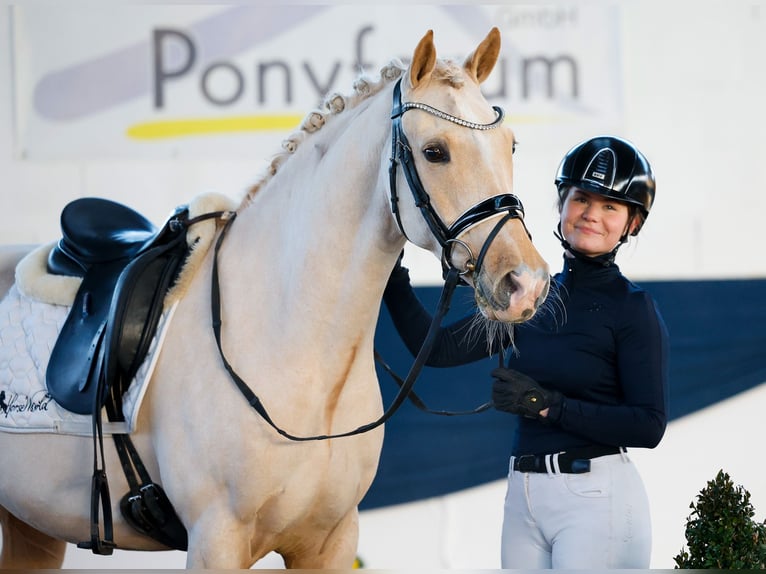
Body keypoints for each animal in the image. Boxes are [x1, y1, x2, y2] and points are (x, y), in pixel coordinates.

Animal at [0, 29, 552, 568]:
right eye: (435, 151)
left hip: (31, 526)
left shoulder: (331, 542)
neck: (294, 348)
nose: (525, 283)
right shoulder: (216, 539)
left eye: (511, 145)